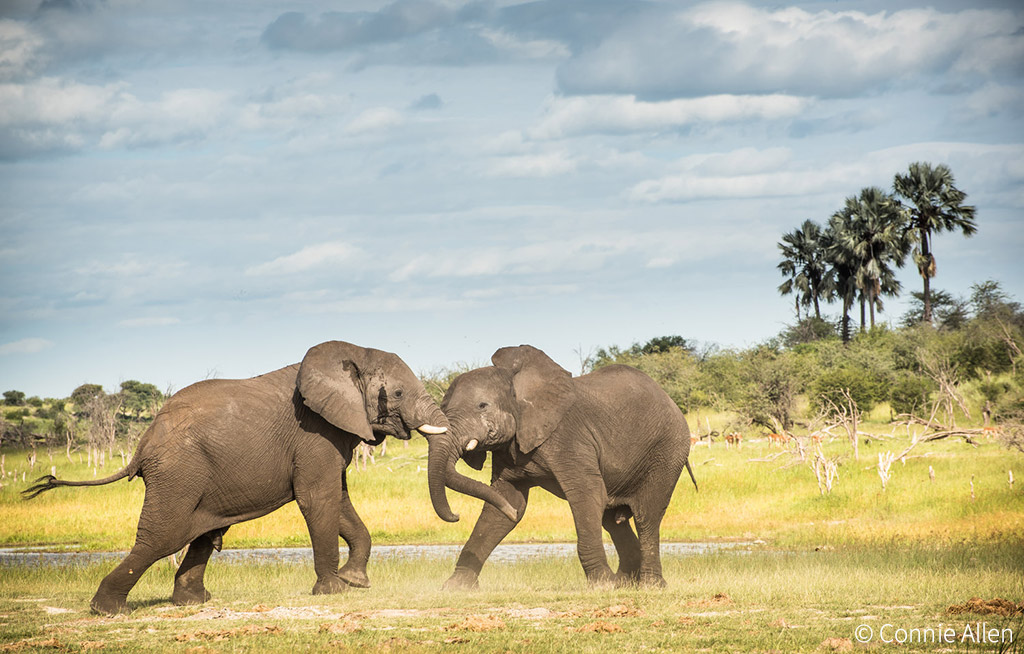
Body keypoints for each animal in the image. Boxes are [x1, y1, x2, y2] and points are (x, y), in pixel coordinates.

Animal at [23, 339, 448, 618]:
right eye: (396, 393)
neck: (354, 354)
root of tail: (142, 445)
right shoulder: (315, 432)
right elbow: (318, 499)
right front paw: (333, 590)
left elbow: (338, 501)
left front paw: (355, 582)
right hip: (178, 472)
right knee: (162, 538)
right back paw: (107, 610)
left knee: (201, 533)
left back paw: (192, 602)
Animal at [421, 345, 696, 589]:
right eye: (443, 408)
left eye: (482, 406)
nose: (457, 516)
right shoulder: (511, 448)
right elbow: (505, 502)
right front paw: (456, 587)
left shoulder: (569, 437)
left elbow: (588, 494)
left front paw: (602, 585)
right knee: (613, 519)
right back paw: (625, 584)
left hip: (667, 452)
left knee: (646, 515)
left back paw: (650, 586)